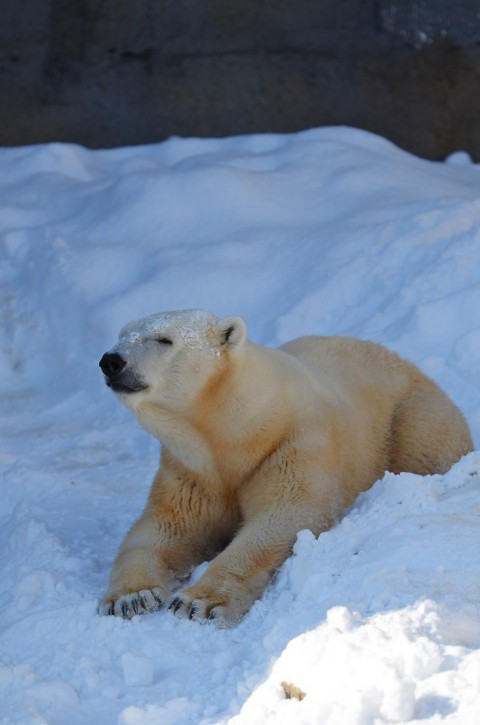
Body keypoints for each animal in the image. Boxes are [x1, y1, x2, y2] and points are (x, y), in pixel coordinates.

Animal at [97, 308, 472, 624]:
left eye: (164, 339)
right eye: (122, 334)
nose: (110, 360)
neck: (238, 430)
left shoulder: (293, 443)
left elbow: (283, 516)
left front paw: (199, 602)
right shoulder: (192, 470)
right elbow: (164, 529)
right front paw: (131, 598)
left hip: (413, 411)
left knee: (425, 440)